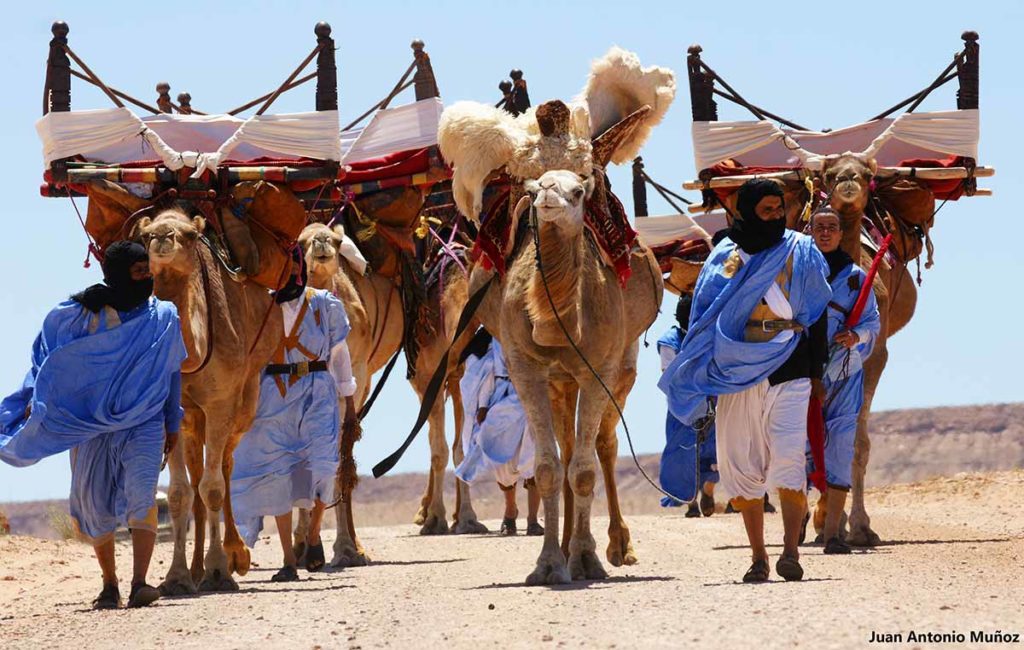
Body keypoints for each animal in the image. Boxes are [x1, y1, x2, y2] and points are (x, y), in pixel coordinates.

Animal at [135, 209, 284, 593]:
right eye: (144, 236)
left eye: (188, 235)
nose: (162, 237)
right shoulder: (169, 410)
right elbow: (178, 493)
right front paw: (176, 577)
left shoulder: (220, 403)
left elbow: (213, 487)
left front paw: (219, 569)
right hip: (192, 420)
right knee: (197, 473)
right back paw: (196, 569)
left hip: (245, 401)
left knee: (226, 465)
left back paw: (235, 556)